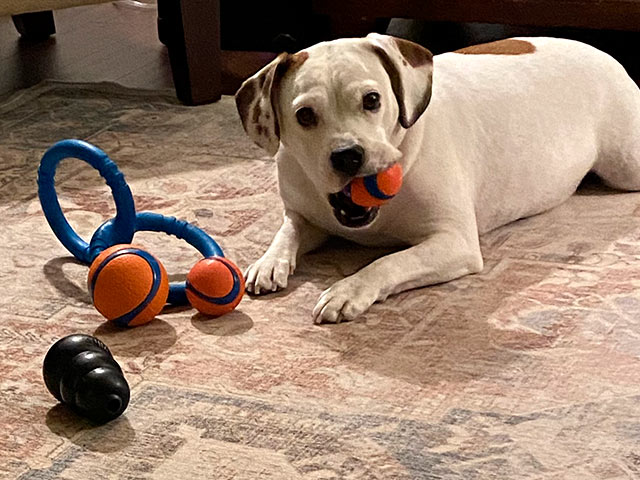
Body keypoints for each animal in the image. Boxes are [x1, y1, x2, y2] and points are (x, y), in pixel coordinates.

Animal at [234, 35, 640, 324]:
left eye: (371, 99)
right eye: (304, 115)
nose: (348, 155)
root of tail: (608, 56)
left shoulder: (453, 242)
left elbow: (389, 262)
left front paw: (349, 289)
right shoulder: (306, 214)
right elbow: (289, 231)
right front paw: (268, 263)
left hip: (626, 166)